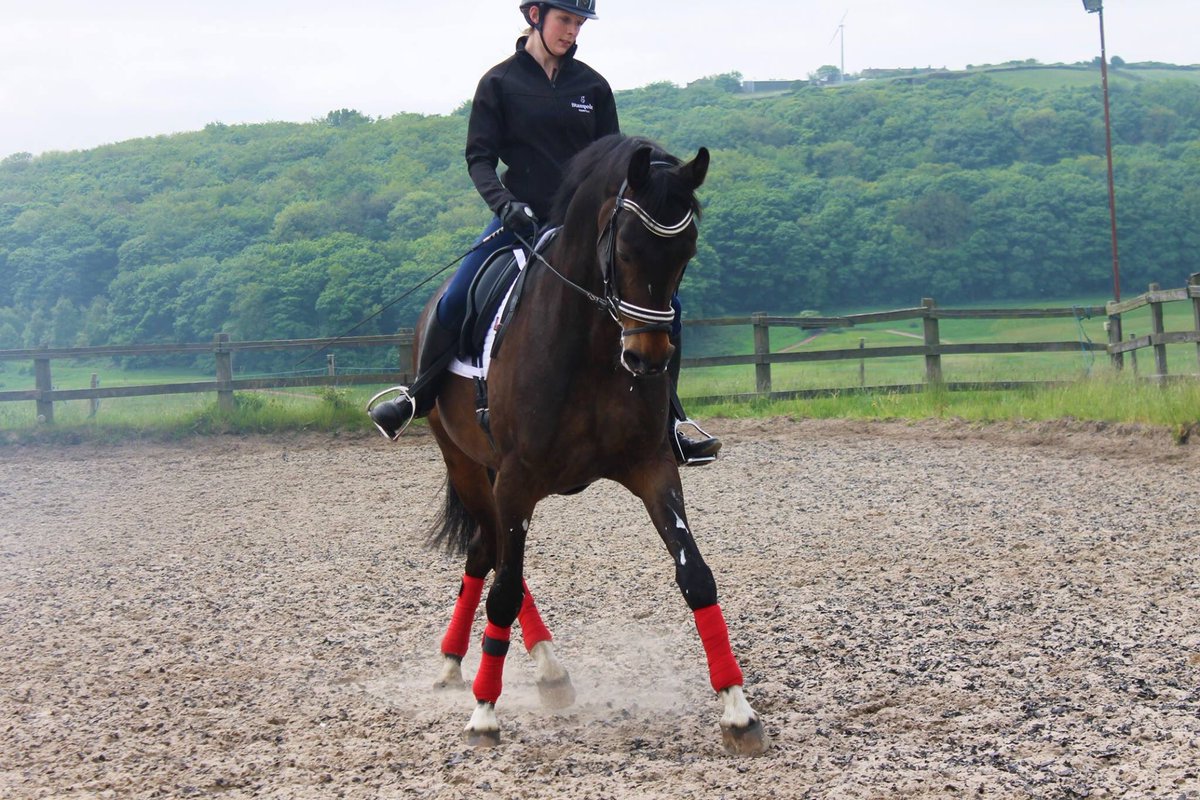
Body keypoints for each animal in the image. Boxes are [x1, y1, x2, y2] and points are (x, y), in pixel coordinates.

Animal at [418, 133, 768, 755]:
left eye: (686, 253)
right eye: (624, 248)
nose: (647, 358)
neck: (588, 348)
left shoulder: (653, 467)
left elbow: (696, 576)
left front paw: (737, 710)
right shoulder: (517, 480)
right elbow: (505, 589)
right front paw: (484, 713)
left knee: (489, 553)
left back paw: (539, 670)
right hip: (466, 464)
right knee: (494, 558)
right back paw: (472, 668)